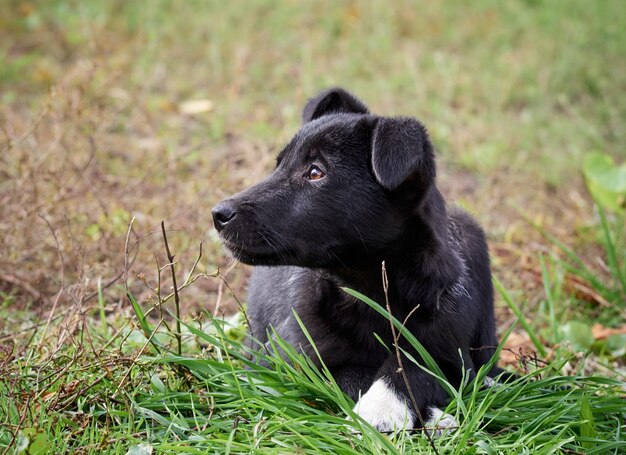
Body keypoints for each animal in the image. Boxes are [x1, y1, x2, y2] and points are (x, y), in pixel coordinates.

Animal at [212, 88, 500, 432]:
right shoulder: (290, 359)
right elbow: (352, 374)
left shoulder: (452, 353)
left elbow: (417, 366)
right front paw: (395, 410)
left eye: (315, 172)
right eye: (278, 166)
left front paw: (384, 406)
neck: (369, 291)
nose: (218, 214)